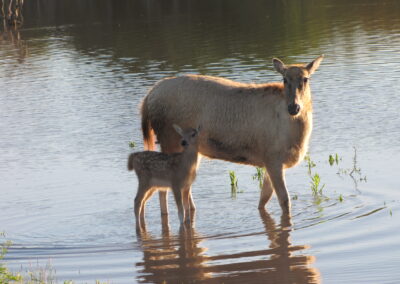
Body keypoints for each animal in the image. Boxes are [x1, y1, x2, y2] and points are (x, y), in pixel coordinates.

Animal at [140, 55, 322, 214]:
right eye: (284, 79)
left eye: (306, 79)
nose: (294, 107)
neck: (297, 138)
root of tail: (148, 98)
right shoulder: (272, 157)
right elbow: (284, 200)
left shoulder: (270, 162)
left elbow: (263, 200)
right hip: (168, 139)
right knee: (164, 188)